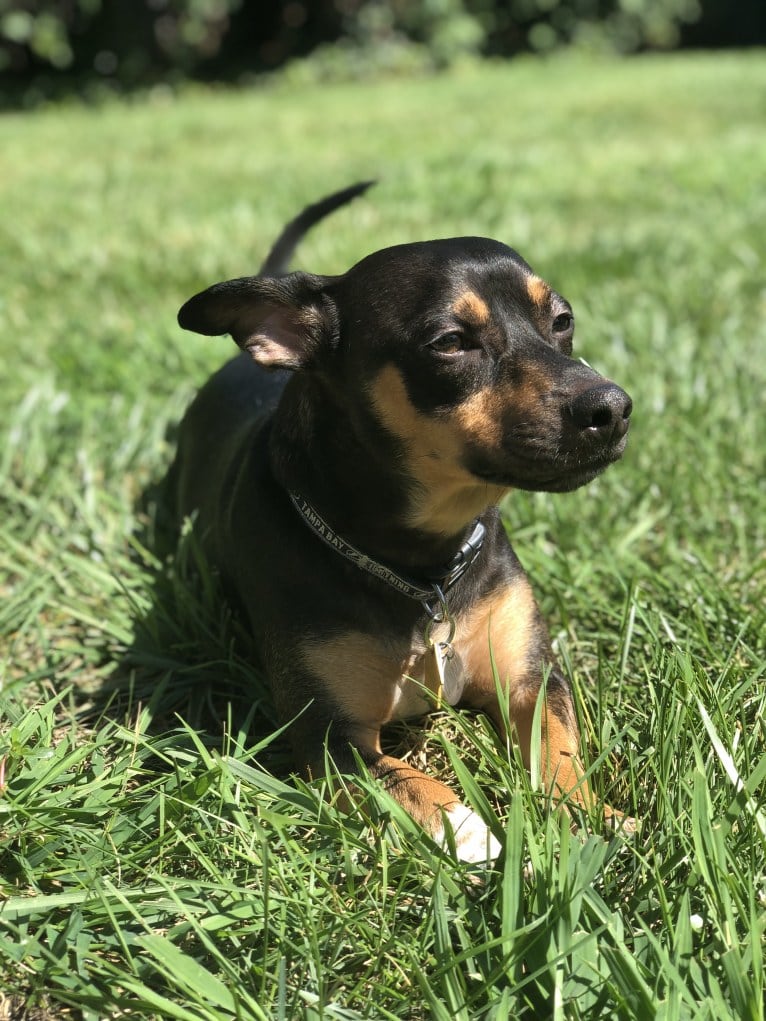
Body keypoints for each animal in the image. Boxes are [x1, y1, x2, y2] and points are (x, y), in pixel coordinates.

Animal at [173, 183, 637, 861]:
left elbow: (558, 752)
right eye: (449, 342)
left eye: (562, 319)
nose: (612, 408)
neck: (424, 568)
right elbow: (404, 779)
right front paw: (468, 830)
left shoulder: (531, 679)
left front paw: (590, 819)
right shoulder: (327, 735)